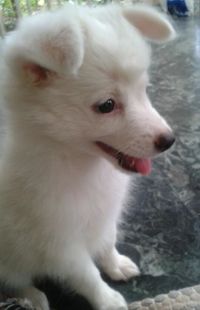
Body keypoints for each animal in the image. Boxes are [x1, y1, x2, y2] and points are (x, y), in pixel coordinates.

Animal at [0, 4, 175, 310]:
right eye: (107, 106)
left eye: (144, 89)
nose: (169, 140)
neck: (74, 160)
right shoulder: (59, 241)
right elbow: (86, 274)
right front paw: (108, 300)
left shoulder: (105, 213)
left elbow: (107, 242)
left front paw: (115, 265)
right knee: (14, 279)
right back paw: (31, 297)